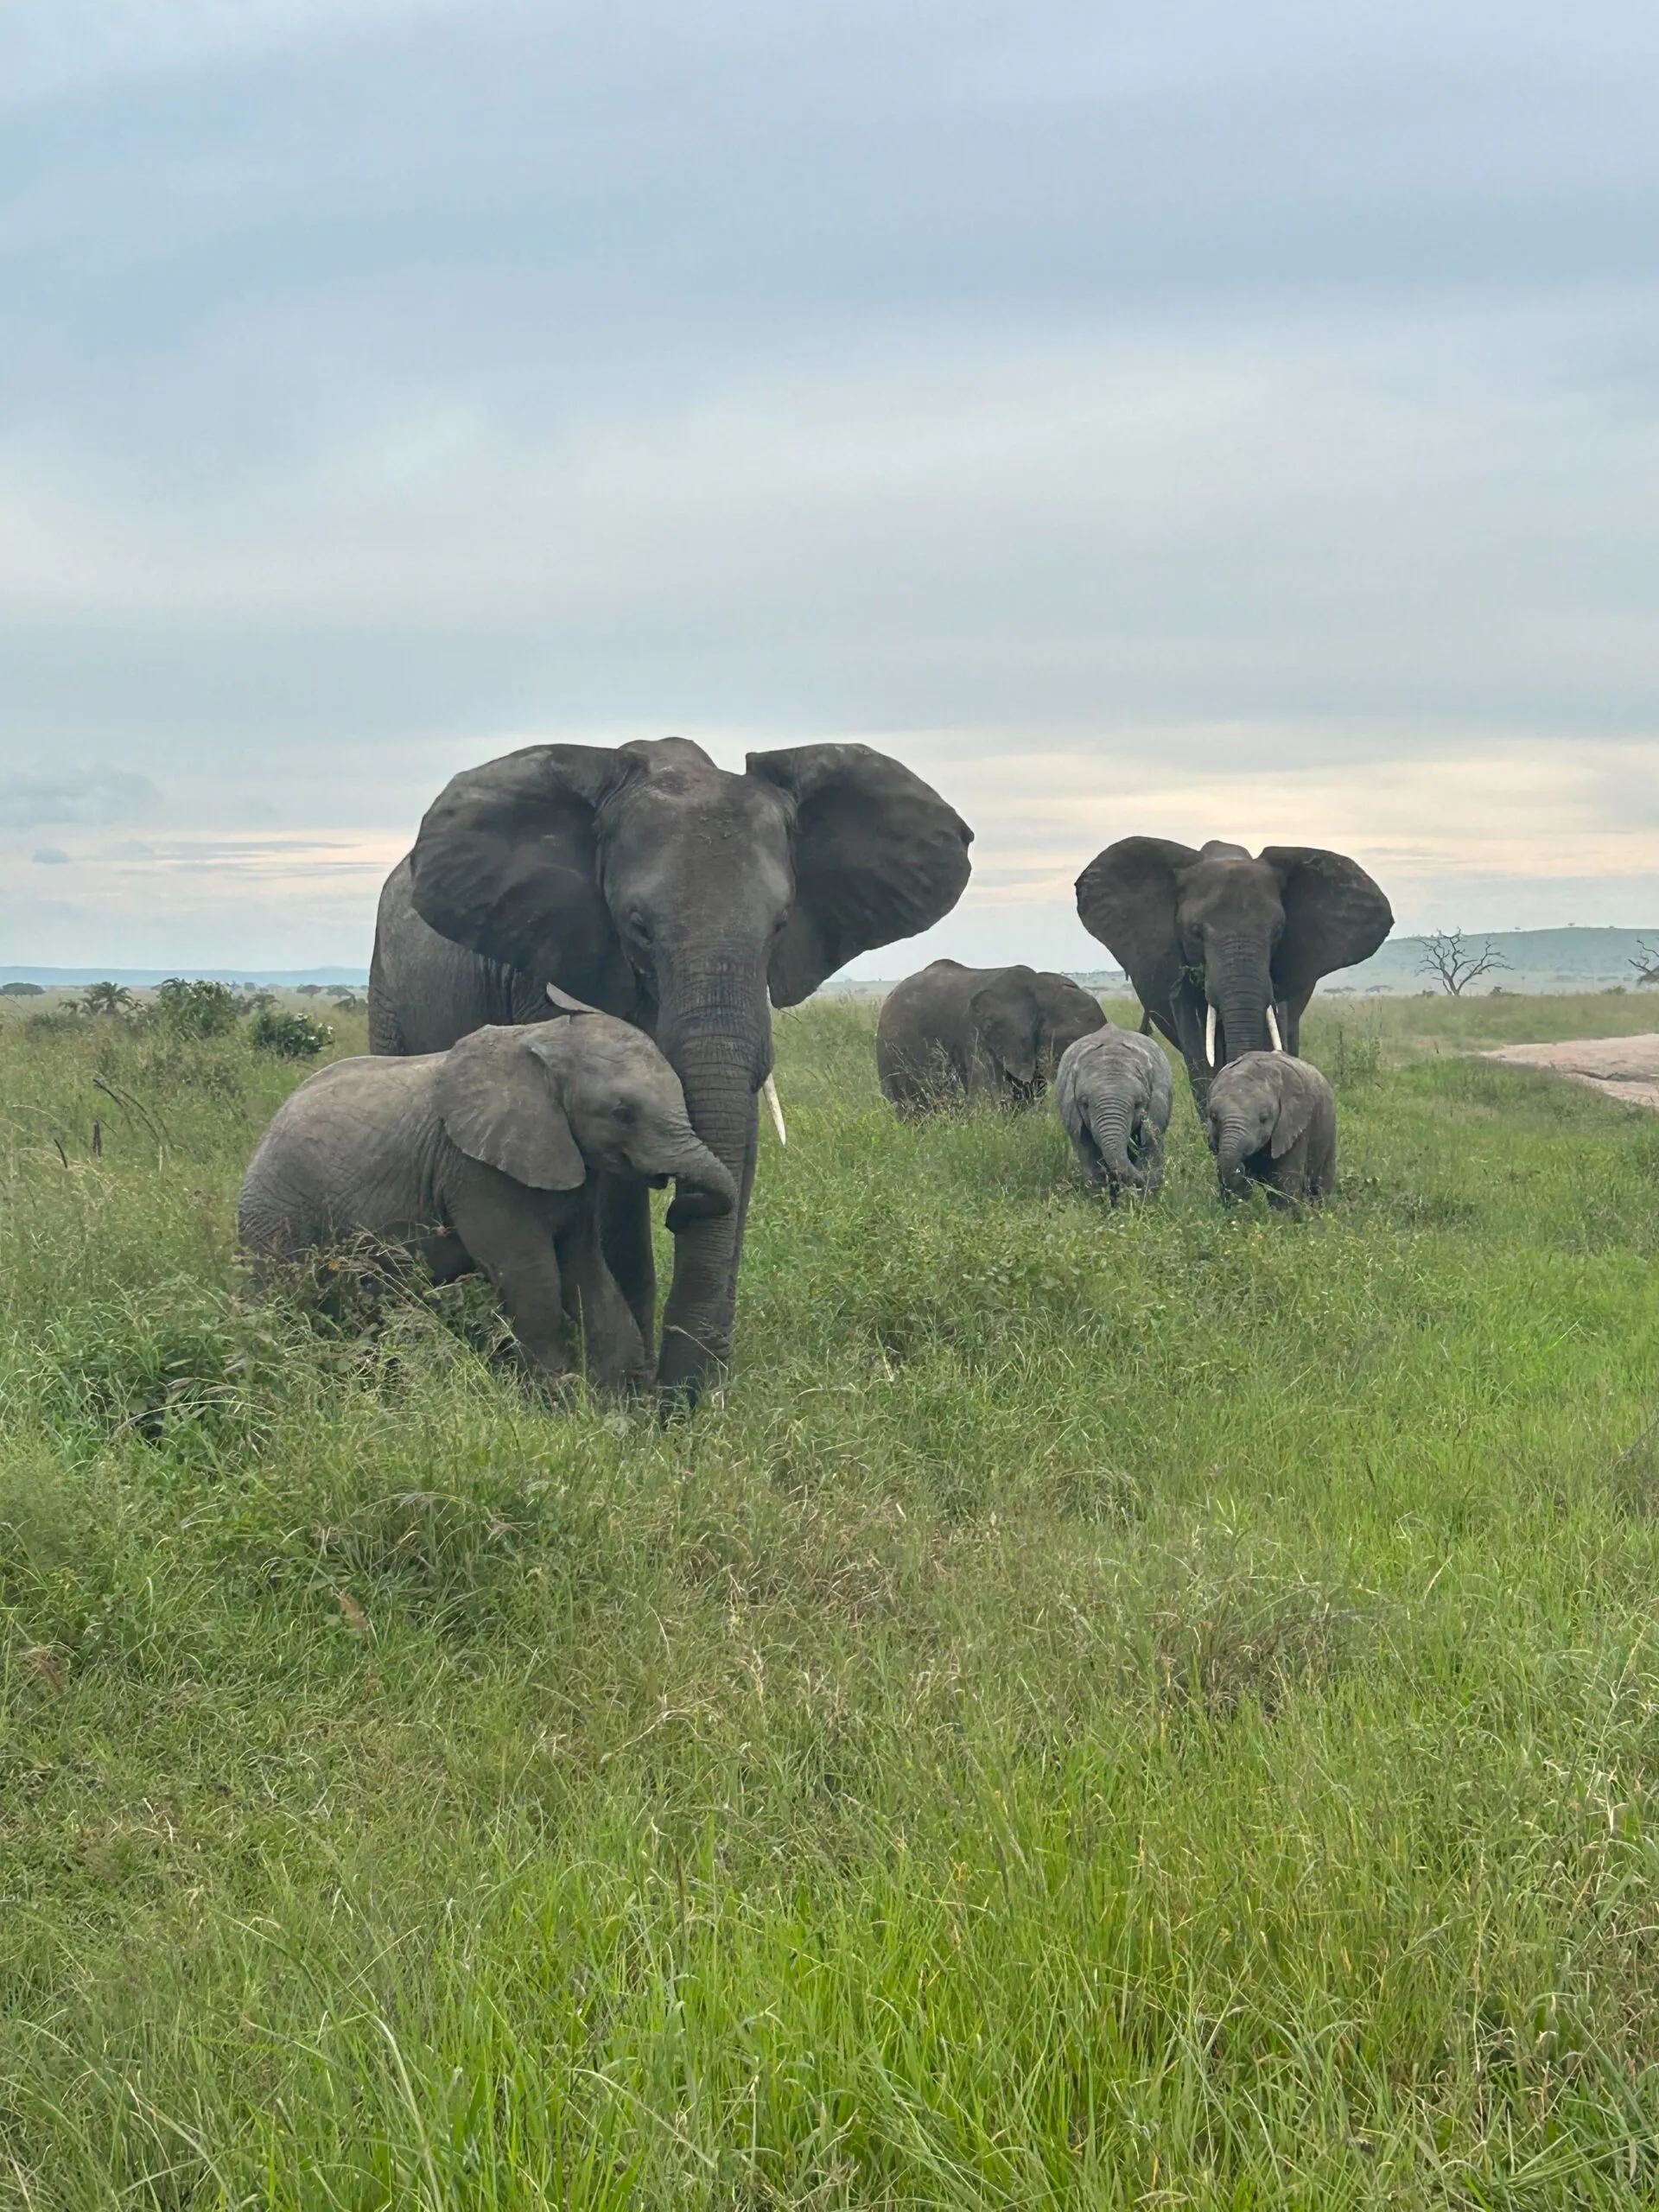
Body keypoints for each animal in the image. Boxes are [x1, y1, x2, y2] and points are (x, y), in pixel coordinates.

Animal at [238, 1000, 737, 1392]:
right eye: (622, 1113)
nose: (675, 1213)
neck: (542, 1043)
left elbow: (586, 1270)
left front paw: (618, 1398)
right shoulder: (474, 1172)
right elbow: (532, 1277)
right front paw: (559, 1398)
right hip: (275, 1209)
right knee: (276, 1298)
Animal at [369, 737, 972, 1399]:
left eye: (781, 924)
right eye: (637, 926)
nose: (681, 1206)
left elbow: (740, 1139)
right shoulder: (549, 963)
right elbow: (605, 1188)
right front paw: (633, 1396)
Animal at [1055, 1023, 1174, 1198]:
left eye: (1138, 1104)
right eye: (1084, 1104)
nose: (1139, 1181)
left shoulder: (1158, 1107)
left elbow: (1150, 1146)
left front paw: (1144, 1198)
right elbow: (1091, 1157)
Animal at [1205, 1051, 1337, 1206]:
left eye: (1263, 1119)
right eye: (1213, 1117)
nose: (1241, 1168)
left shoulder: (1294, 1126)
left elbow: (1284, 1188)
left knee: (1320, 1187)